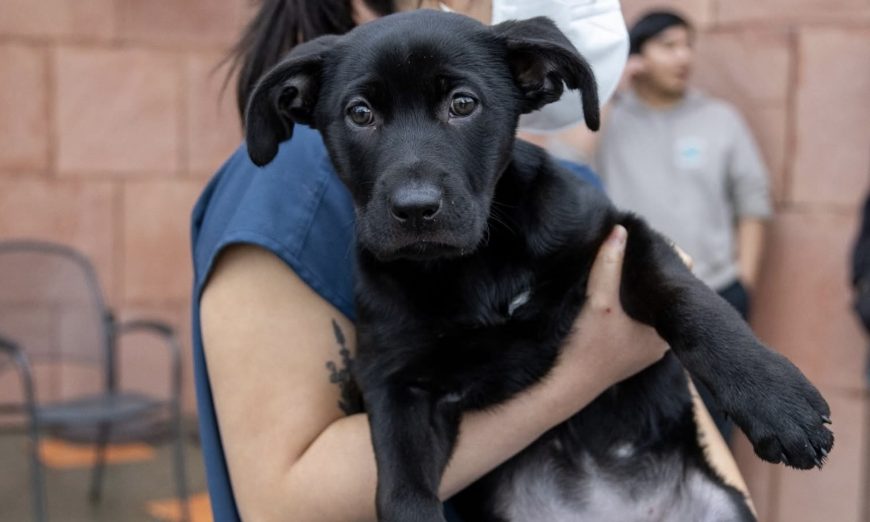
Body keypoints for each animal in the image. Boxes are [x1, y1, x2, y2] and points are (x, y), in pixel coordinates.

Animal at [244, 9, 832, 520]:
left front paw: (775, 400)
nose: (414, 209)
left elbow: (688, 301)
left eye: (463, 104)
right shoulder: (394, 379)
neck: (473, 265)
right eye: (360, 114)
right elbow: (401, 487)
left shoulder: (620, 236)